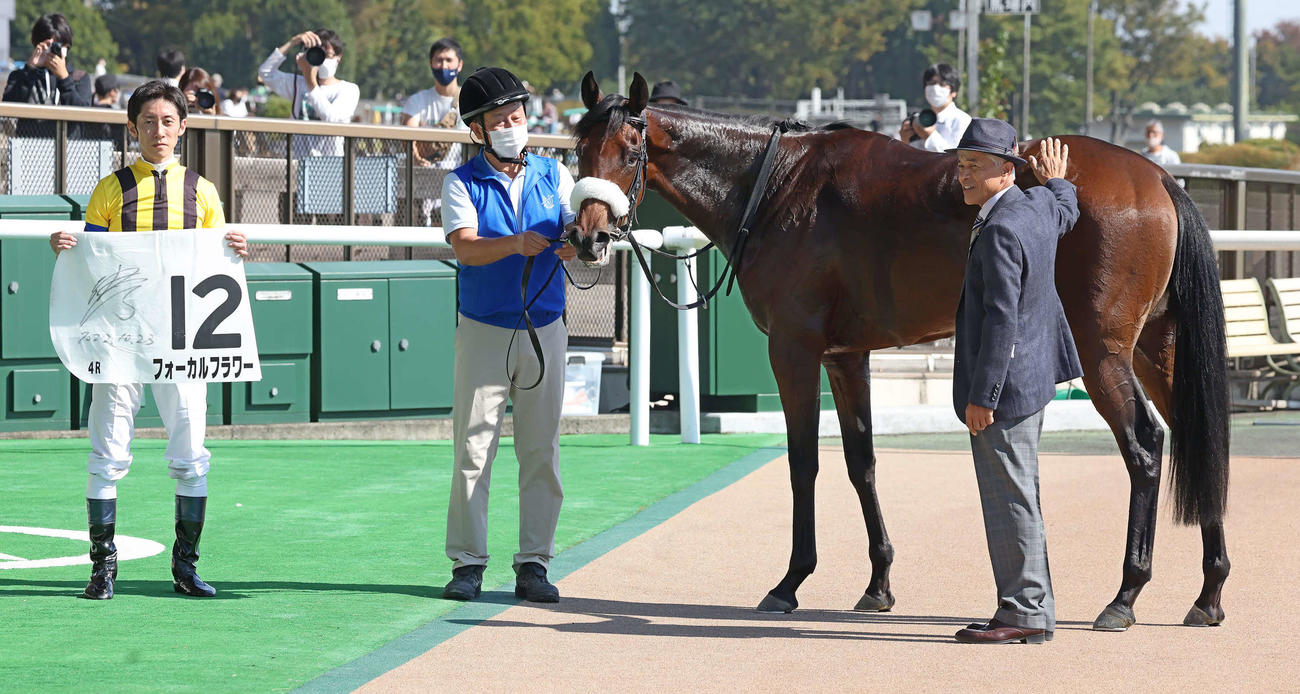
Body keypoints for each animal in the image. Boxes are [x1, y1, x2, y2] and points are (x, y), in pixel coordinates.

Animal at [565, 72, 1230, 632]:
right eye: (578, 149)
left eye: (630, 150)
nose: (589, 236)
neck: (777, 186)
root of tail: (1157, 178)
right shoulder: (846, 356)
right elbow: (861, 462)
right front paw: (878, 583)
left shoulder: (794, 349)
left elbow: (802, 463)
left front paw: (790, 583)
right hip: (1155, 348)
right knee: (1201, 437)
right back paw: (1209, 592)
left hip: (1103, 352)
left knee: (1145, 445)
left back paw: (1125, 594)